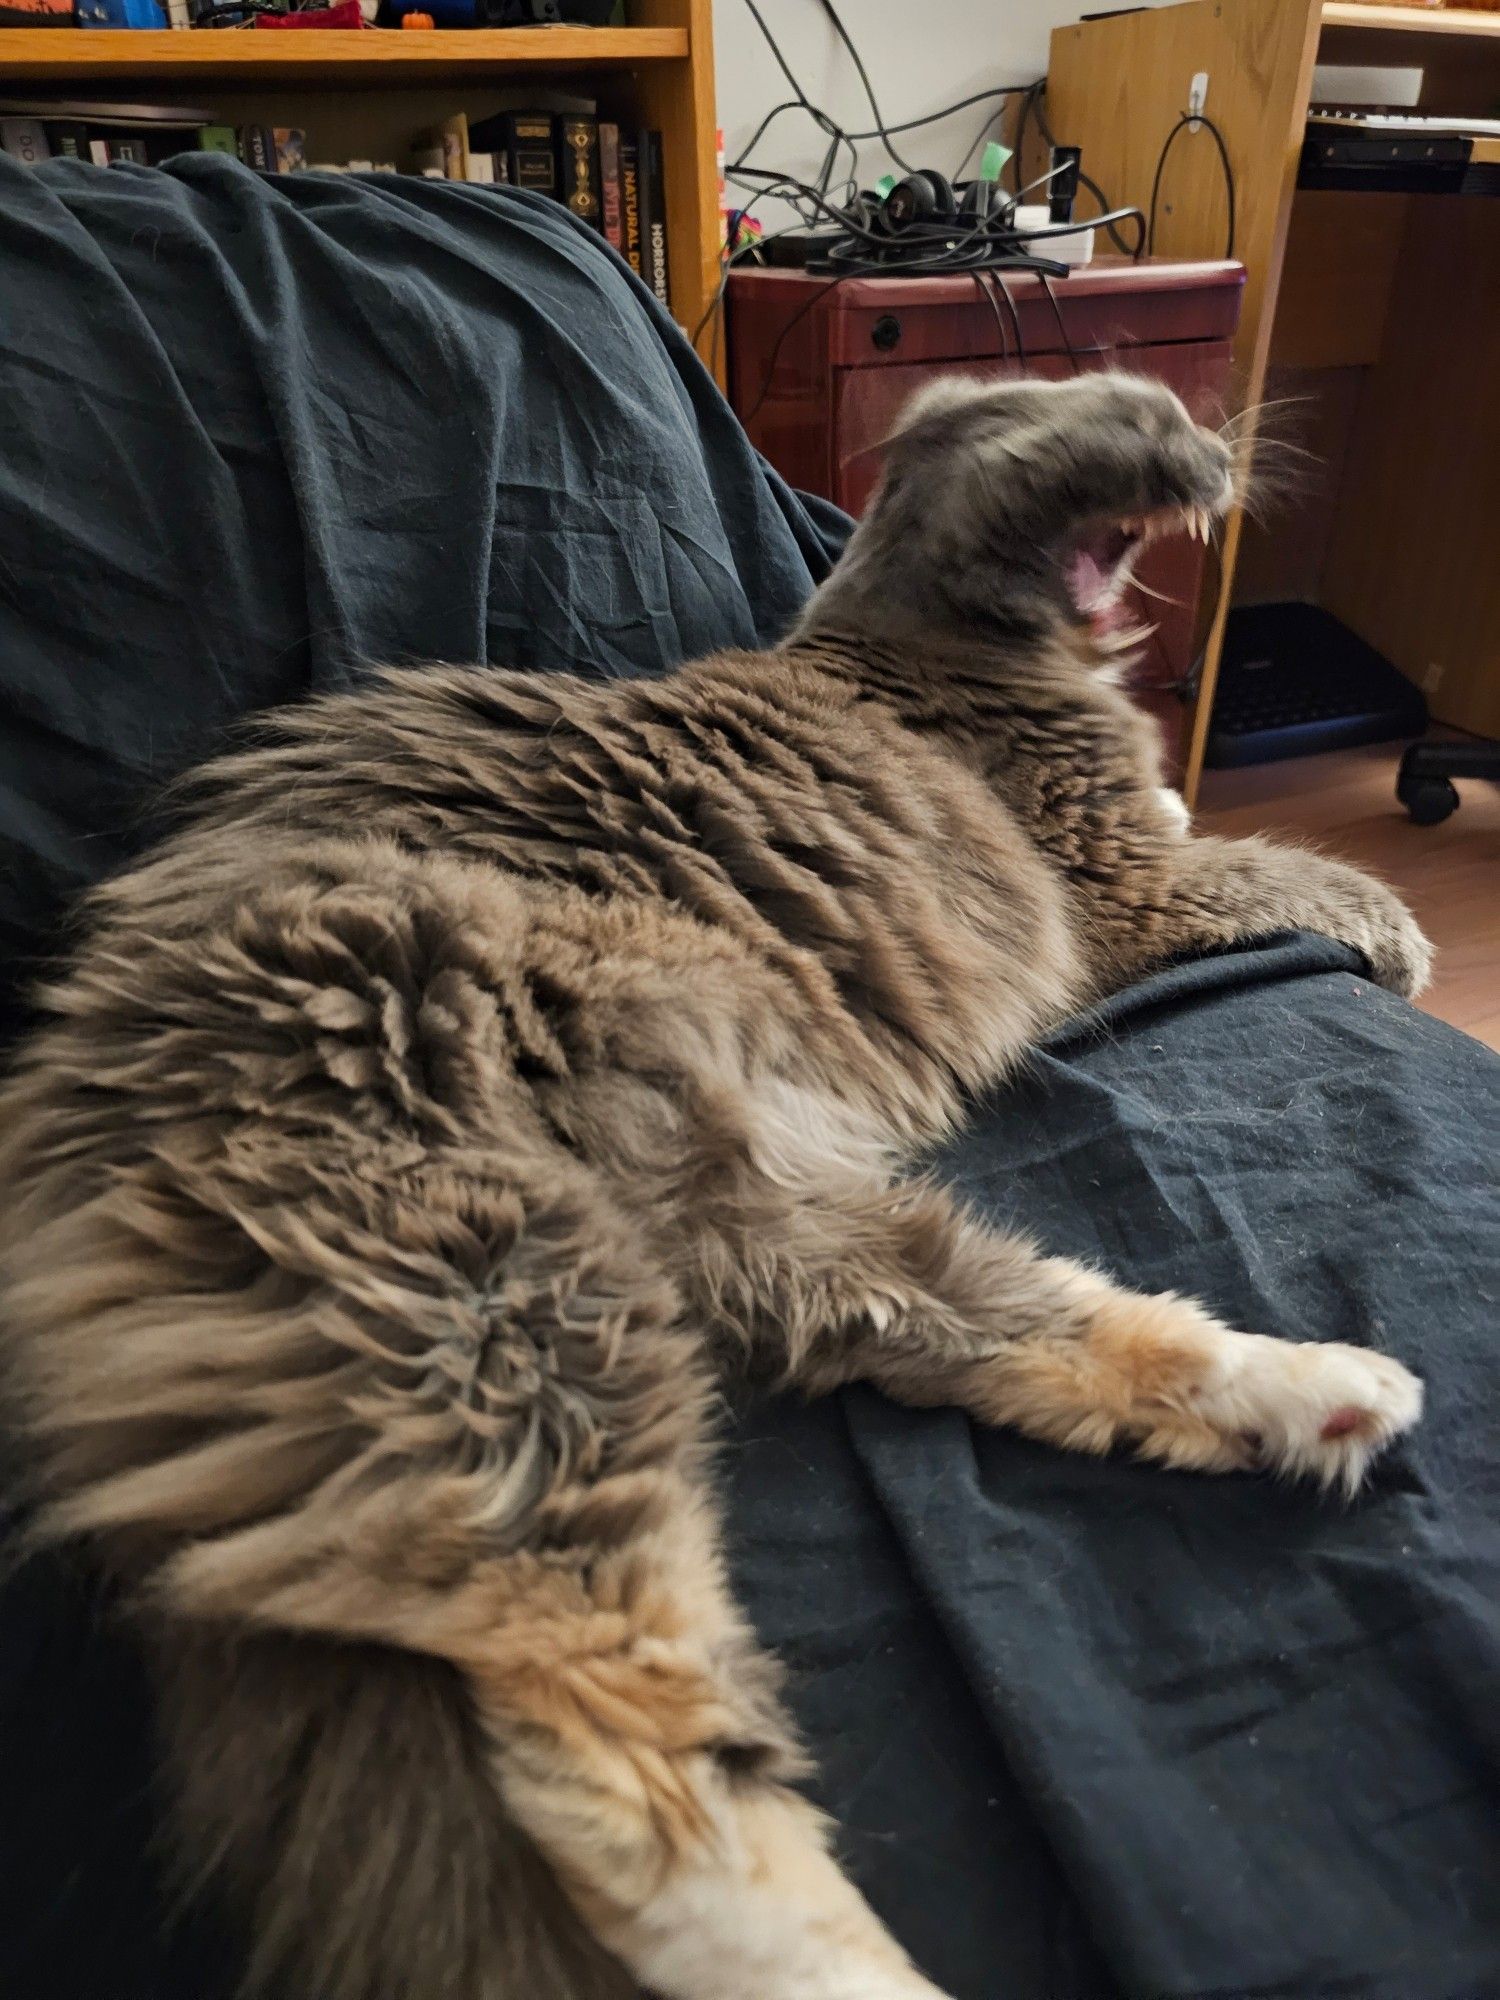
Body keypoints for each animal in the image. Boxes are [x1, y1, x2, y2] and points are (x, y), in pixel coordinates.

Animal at [0, 376, 1432, 2000]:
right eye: (1160, 414)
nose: (1218, 446)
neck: (911, 619)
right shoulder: (1126, 883)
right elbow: (1293, 870)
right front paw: (1397, 936)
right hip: (505, 1309)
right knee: (613, 1760)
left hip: (778, 1233)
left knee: (1027, 1337)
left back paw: (1319, 1395)